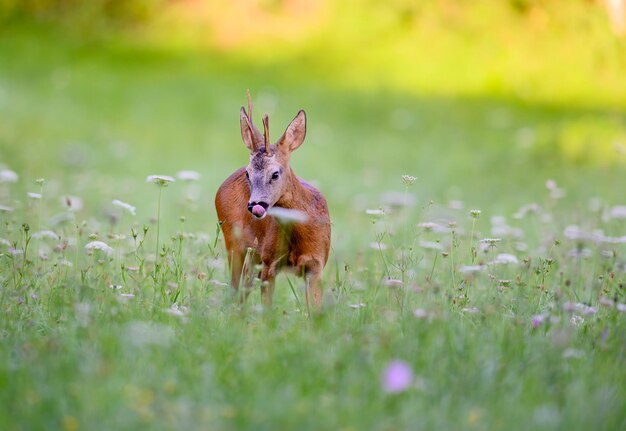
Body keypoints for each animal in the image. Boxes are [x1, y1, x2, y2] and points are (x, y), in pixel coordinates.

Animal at [214, 93, 332, 310]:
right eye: (248, 174)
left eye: (275, 174)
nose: (254, 205)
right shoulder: (270, 262)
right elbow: (266, 311)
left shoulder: (317, 264)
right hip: (234, 241)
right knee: (235, 290)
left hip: (254, 255)